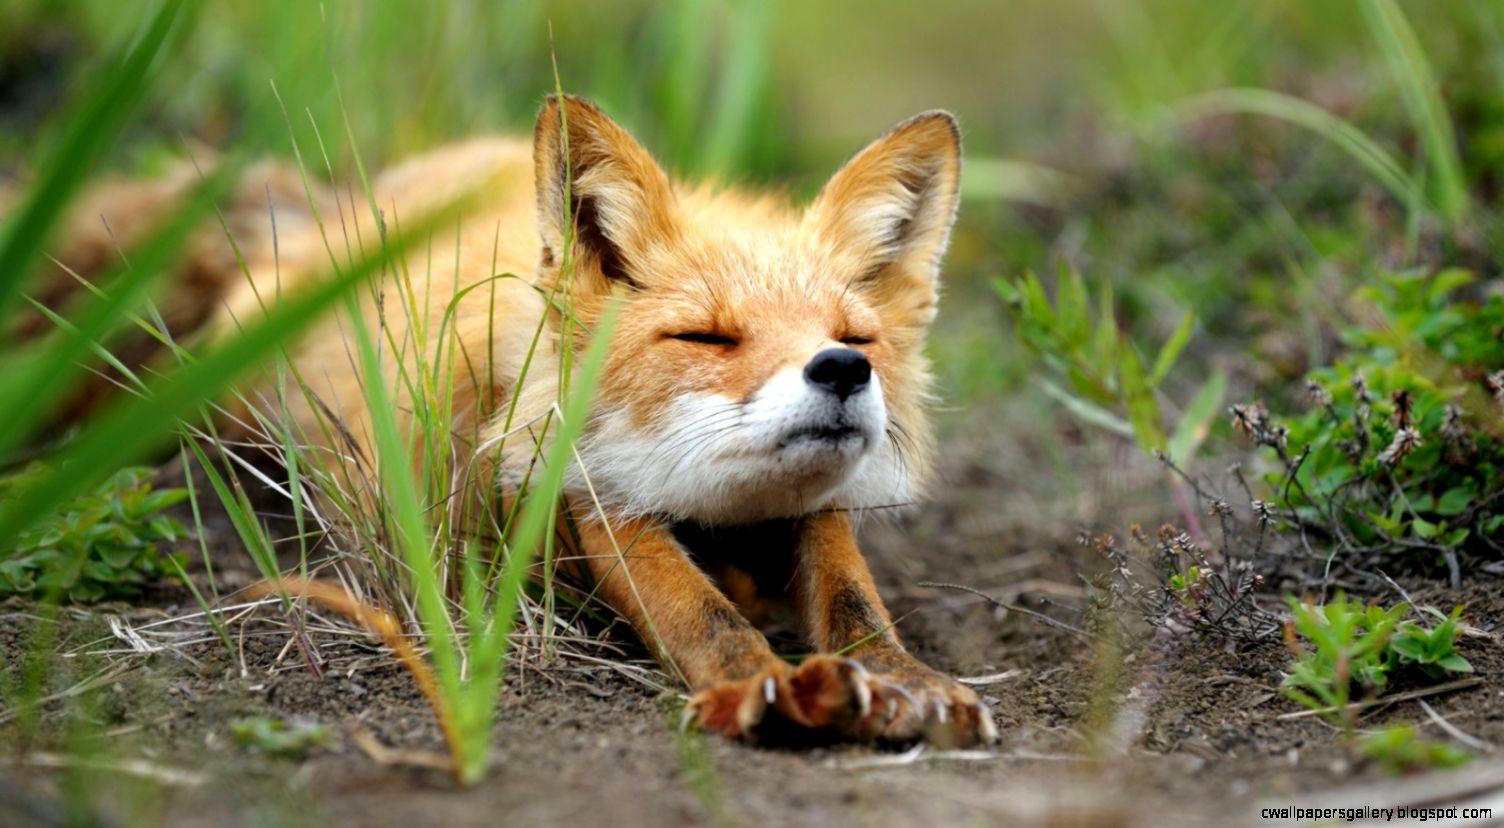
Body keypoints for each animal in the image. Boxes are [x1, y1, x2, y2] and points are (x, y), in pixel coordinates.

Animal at [38, 95, 997, 747]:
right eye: (707, 336)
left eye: (854, 337)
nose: (843, 371)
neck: (725, 519)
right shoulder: (575, 487)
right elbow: (692, 604)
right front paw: (755, 685)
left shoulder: (810, 509)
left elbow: (850, 594)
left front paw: (903, 679)